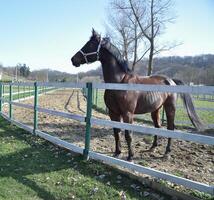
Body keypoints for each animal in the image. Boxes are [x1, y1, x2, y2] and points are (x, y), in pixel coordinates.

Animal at [70, 28, 204, 161]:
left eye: (90, 45)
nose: (73, 59)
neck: (119, 82)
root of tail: (171, 80)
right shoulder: (113, 113)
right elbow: (116, 132)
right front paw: (117, 152)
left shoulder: (128, 114)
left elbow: (128, 134)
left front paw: (130, 156)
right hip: (155, 109)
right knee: (158, 126)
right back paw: (152, 147)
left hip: (170, 108)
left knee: (170, 128)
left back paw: (166, 153)